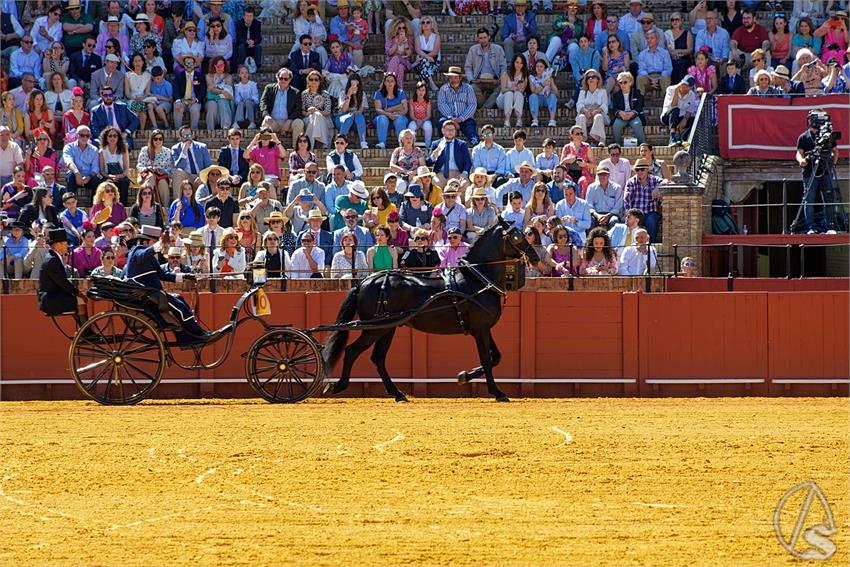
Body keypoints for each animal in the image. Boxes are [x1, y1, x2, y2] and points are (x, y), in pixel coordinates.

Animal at [322, 219, 540, 404]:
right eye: (516, 237)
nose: (536, 257)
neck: (476, 279)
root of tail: (365, 281)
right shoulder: (481, 328)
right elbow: (487, 358)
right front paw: (497, 392)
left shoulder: (483, 328)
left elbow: (496, 357)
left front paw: (463, 376)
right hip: (375, 328)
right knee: (352, 351)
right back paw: (337, 386)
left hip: (387, 328)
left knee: (378, 358)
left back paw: (398, 393)